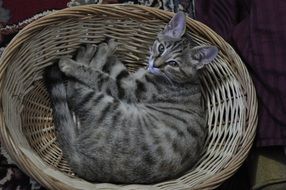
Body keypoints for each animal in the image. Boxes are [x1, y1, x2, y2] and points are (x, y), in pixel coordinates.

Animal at [44, 12, 218, 184]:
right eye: (161, 47)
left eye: (173, 63)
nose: (155, 64)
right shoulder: (127, 79)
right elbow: (116, 67)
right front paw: (110, 46)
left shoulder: (128, 90)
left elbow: (97, 75)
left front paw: (74, 64)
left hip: (106, 105)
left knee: (75, 89)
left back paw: (83, 55)